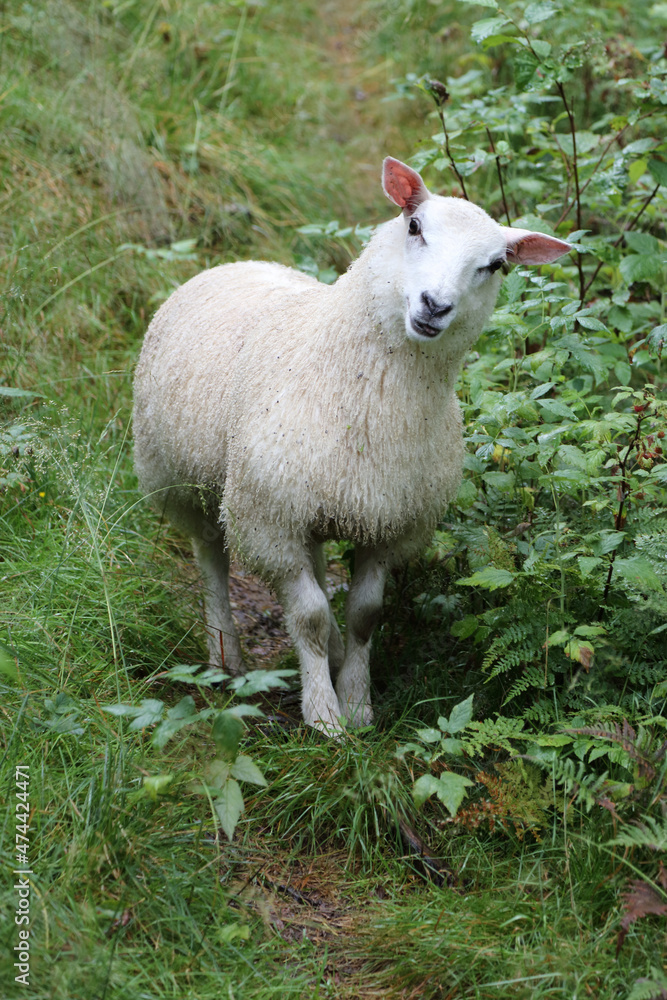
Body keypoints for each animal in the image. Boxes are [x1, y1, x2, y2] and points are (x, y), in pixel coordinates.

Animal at [133, 157, 570, 733]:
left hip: (311, 504)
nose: (435, 305)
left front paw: (358, 705)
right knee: (212, 560)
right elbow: (310, 617)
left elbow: (364, 616)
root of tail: (234, 262)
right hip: (182, 481)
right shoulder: (268, 518)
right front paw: (324, 719)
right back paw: (225, 655)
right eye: (415, 227)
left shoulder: (394, 524)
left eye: (496, 265)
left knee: (316, 569)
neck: (368, 395)